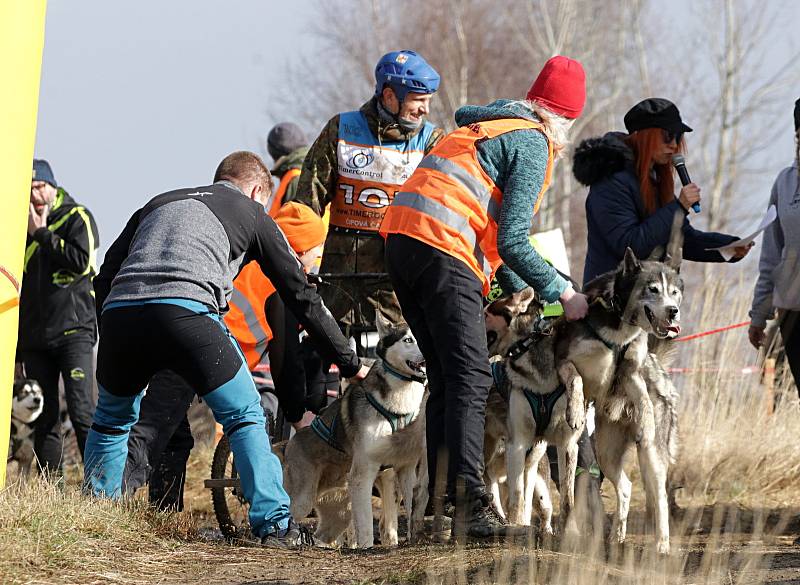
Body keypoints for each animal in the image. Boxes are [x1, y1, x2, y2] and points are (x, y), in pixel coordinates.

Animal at [282, 314, 428, 548]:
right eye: (408, 340)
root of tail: (290, 443)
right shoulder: (363, 473)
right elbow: (366, 523)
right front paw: (367, 547)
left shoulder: (402, 469)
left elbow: (405, 509)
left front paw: (405, 539)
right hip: (304, 499)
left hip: (338, 509)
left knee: (324, 533)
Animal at [482, 292, 588, 532]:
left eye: (485, 313)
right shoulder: (517, 445)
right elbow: (517, 499)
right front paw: (515, 527)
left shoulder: (566, 445)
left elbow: (567, 499)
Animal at [556, 244, 680, 556]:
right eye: (652, 289)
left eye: (674, 292)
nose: (674, 312)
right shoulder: (565, 360)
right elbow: (575, 378)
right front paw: (576, 410)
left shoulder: (630, 371)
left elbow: (642, 397)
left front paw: (646, 419)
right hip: (605, 451)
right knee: (625, 486)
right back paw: (617, 537)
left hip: (650, 456)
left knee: (659, 495)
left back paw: (661, 543)